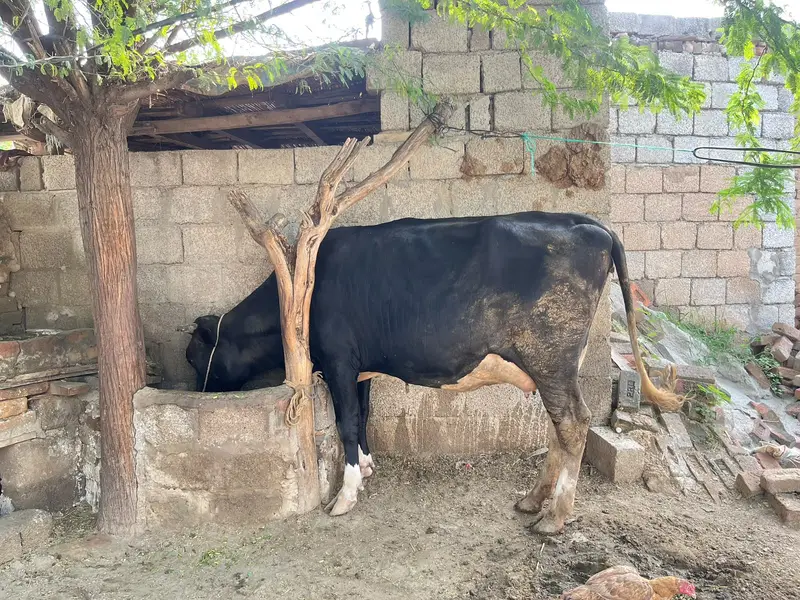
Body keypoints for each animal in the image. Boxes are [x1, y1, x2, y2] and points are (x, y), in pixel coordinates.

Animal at [183, 211, 679, 534]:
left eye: (193, 356)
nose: (200, 392)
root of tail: (591, 224)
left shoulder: (339, 360)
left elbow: (346, 424)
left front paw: (345, 496)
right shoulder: (361, 368)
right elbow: (363, 417)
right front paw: (366, 468)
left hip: (550, 357)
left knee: (574, 424)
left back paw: (554, 517)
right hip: (554, 366)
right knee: (560, 428)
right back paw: (533, 500)